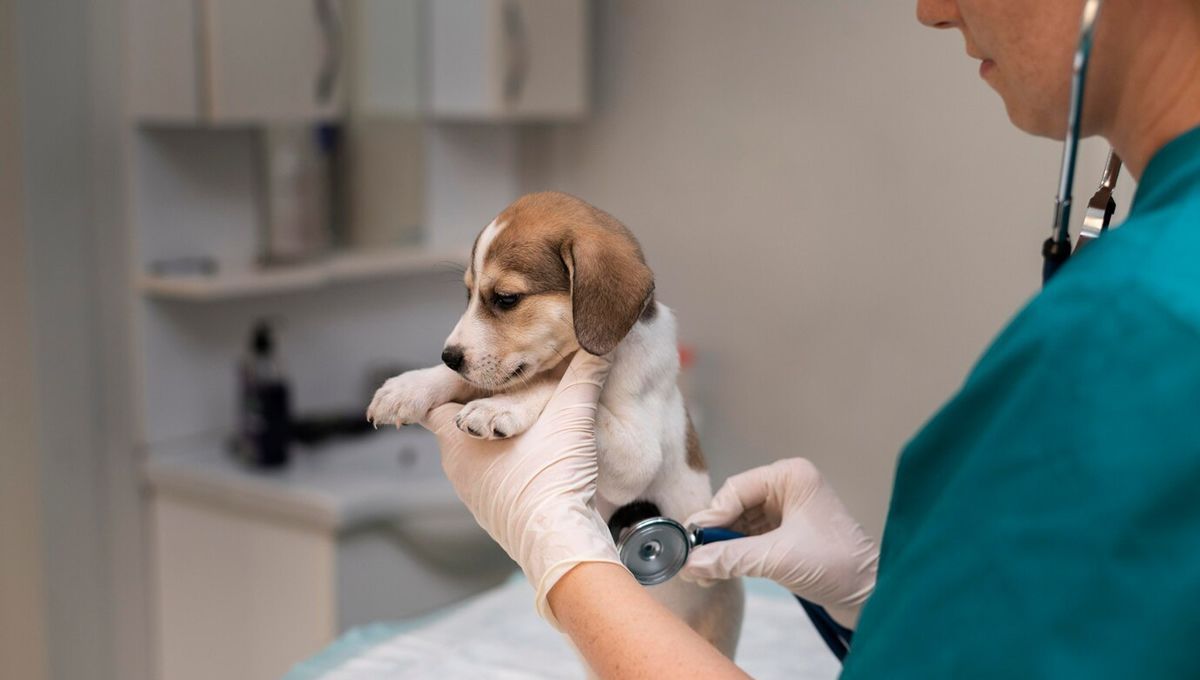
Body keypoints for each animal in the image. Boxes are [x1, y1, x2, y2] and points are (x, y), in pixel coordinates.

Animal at [366, 191, 744, 658]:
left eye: (506, 298)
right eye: (468, 295)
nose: (449, 356)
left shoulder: (637, 453)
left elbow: (550, 382)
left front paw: (500, 408)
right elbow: (486, 379)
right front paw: (410, 386)